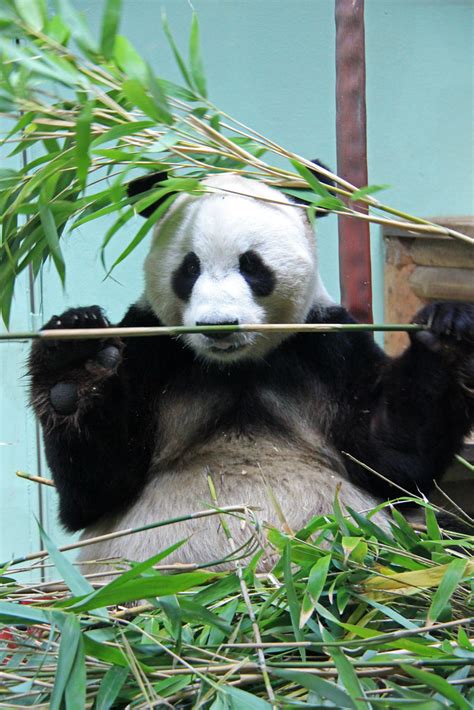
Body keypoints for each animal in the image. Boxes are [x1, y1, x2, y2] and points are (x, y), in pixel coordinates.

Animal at [28, 168, 474, 572]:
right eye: (189, 268)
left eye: (252, 266)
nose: (218, 325)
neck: (234, 368)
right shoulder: (151, 348)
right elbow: (96, 487)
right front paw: (74, 362)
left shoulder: (327, 345)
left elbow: (391, 459)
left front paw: (449, 331)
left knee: (444, 538)